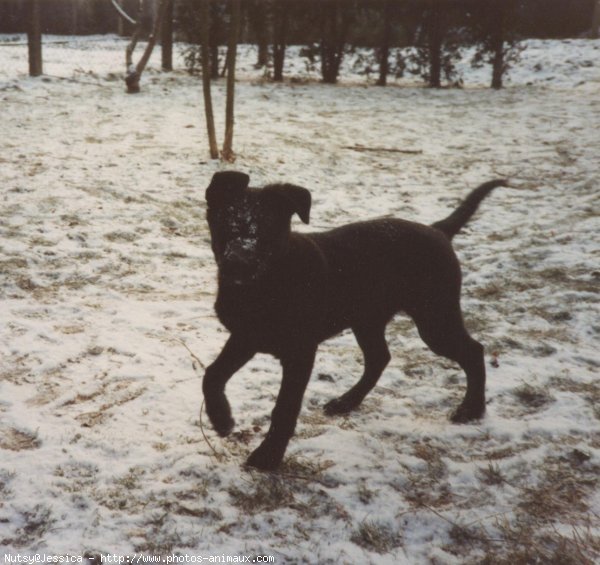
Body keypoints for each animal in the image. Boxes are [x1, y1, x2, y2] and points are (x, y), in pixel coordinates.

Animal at [203, 172, 506, 472]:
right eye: (224, 226)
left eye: (266, 231)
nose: (238, 264)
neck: (264, 286)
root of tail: (438, 230)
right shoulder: (245, 336)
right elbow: (212, 375)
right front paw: (221, 418)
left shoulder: (300, 352)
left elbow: (285, 407)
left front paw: (268, 457)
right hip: (368, 319)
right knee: (379, 358)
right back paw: (347, 401)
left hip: (435, 319)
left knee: (473, 351)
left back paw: (471, 409)